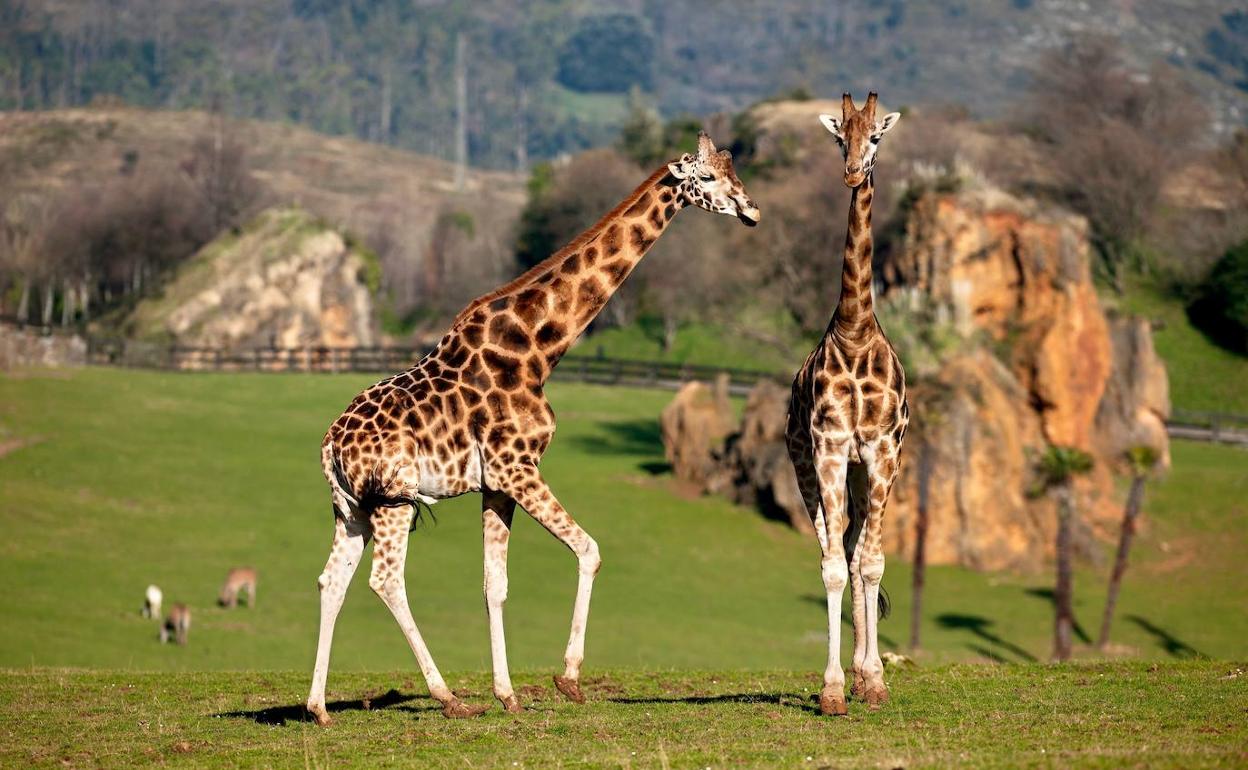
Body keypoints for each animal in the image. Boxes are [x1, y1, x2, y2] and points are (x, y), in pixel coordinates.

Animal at [304, 129, 758, 723]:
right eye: (706, 177)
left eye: (733, 171)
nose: (750, 209)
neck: (540, 348)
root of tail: (330, 446)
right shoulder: (518, 467)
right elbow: (589, 549)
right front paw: (568, 679)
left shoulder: (496, 483)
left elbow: (494, 584)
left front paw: (509, 693)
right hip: (394, 499)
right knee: (386, 580)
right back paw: (447, 697)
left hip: (350, 507)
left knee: (331, 580)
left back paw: (317, 707)